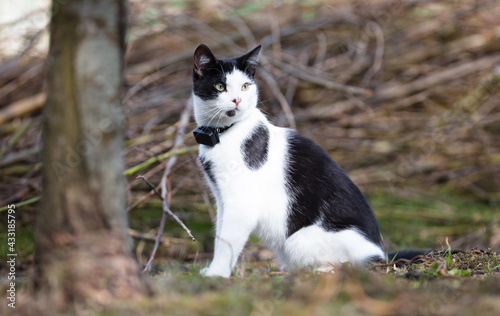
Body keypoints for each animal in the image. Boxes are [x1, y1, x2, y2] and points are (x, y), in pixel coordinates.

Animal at [191, 43, 382, 276]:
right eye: (220, 86)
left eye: (245, 86)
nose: (237, 100)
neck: (222, 133)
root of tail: (379, 254)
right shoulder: (221, 198)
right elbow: (219, 234)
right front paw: (212, 271)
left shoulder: (241, 204)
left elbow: (226, 242)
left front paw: (216, 274)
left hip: (299, 239)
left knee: (344, 266)